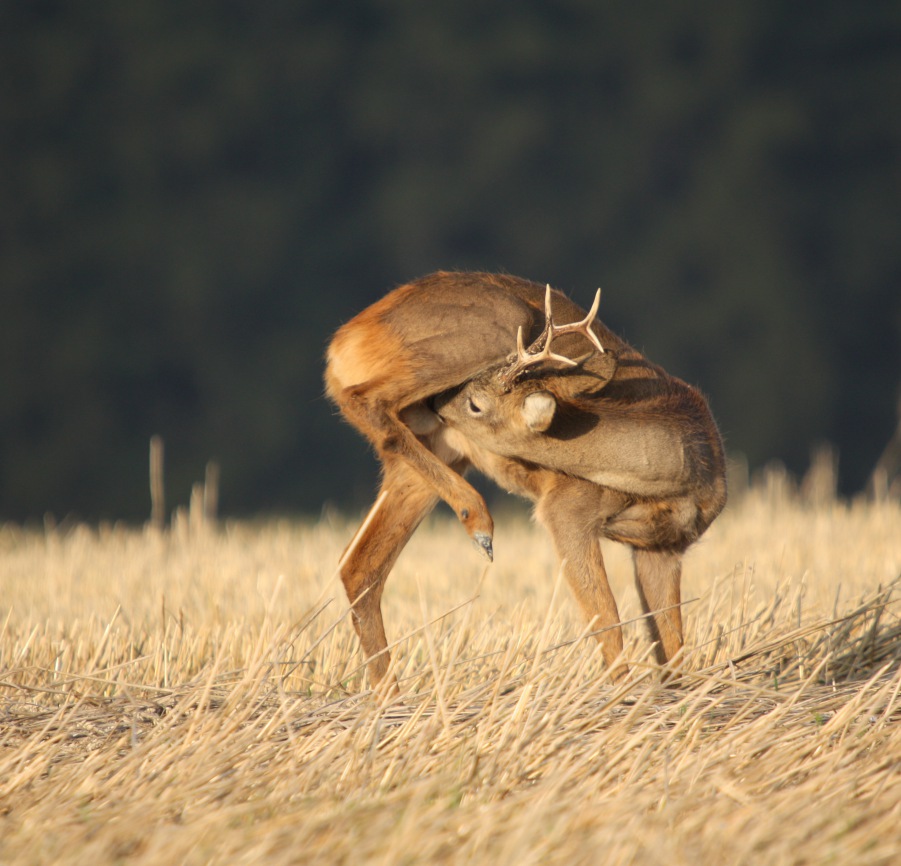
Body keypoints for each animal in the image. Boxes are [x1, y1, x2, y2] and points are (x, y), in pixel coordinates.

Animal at [324, 271, 726, 691]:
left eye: (476, 403)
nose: (438, 403)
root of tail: (344, 340)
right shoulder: (566, 508)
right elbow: (608, 620)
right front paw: (619, 693)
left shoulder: (664, 548)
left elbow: (673, 646)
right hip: (501, 322)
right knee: (363, 398)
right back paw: (479, 522)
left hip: (436, 453)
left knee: (359, 566)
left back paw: (388, 695)